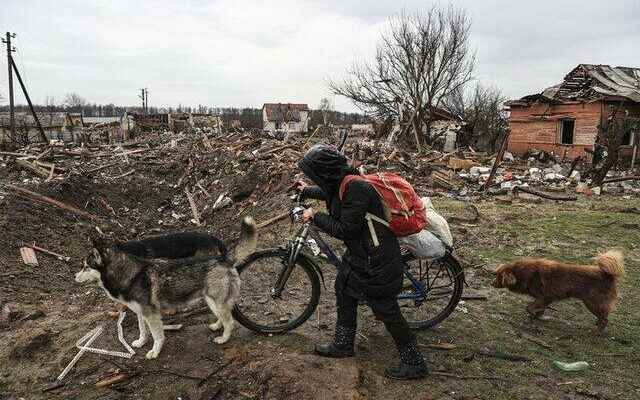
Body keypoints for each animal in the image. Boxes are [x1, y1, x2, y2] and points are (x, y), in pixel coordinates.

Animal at [492, 250, 624, 334]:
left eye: (499, 276)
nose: (491, 283)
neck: (524, 274)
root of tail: (608, 276)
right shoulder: (545, 299)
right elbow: (538, 309)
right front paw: (537, 316)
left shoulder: (544, 297)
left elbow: (529, 307)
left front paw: (533, 315)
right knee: (603, 316)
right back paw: (597, 324)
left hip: (592, 303)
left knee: (605, 319)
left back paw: (596, 332)